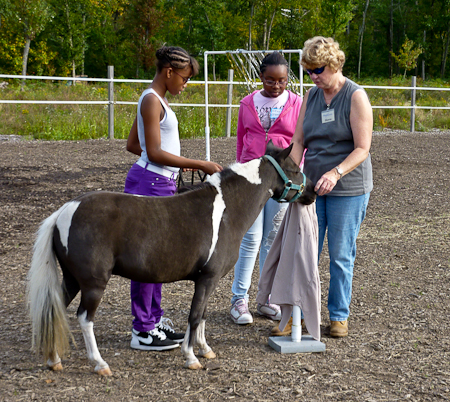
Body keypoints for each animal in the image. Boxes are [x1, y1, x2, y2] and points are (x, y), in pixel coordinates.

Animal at [27, 141, 316, 374]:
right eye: (293, 168)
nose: (313, 191)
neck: (226, 210)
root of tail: (65, 211)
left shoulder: (207, 281)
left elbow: (202, 315)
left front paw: (205, 349)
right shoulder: (207, 279)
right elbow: (195, 315)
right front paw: (191, 357)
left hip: (72, 280)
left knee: (55, 311)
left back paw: (54, 360)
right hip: (93, 284)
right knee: (85, 319)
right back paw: (100, 364)